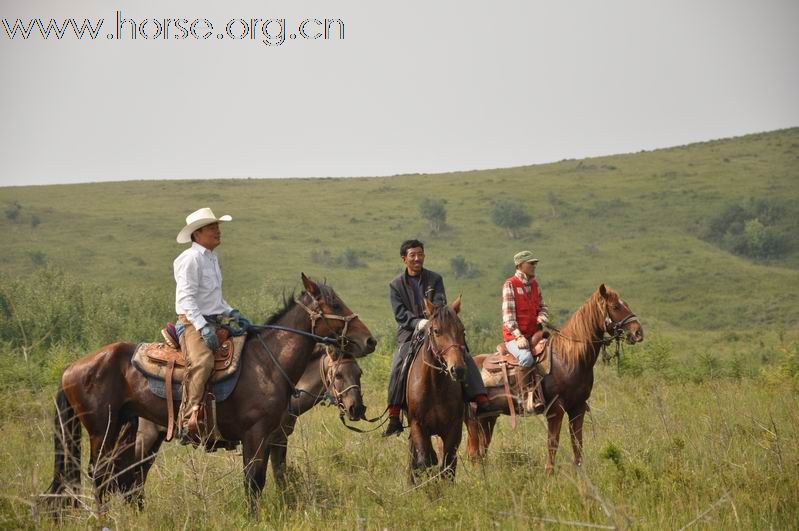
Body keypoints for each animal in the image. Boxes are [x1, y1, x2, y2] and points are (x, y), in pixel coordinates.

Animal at [123, 342, 368, 504]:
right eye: (338, 375)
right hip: (145, 438)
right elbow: (271, 476)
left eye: (359, 372)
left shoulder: (275, 439)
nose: (357, 408)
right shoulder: (269, 438)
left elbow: (279, 475)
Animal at [406, 298, 468, 484]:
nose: (458, 369)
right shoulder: (418, 426)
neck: (435, 386)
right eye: (436, 331)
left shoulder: (454, 428)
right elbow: (425, 461)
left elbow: (448, 466)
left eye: (462, 330)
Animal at [468, 284, 644, 476]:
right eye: (615, 307)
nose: (638, 332)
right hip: (472, 418)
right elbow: (553, 443)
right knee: (474, 451)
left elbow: (577, 442)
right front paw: (549, 472)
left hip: (488, 417)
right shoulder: (556, 409)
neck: (569, 358)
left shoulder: (578, 407)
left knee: (481, 450)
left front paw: (580, 470)